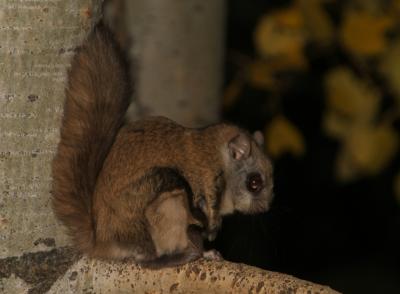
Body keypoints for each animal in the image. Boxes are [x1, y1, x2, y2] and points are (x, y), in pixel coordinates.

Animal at [51, 20, 274, 268]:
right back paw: (184, 254)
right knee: (148, 260)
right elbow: (204, 208)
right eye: (255, 183)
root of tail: (103, 242)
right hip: (169, 202)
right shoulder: (204, 177)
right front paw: (211, 229)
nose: (265, 207)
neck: (218, 156)